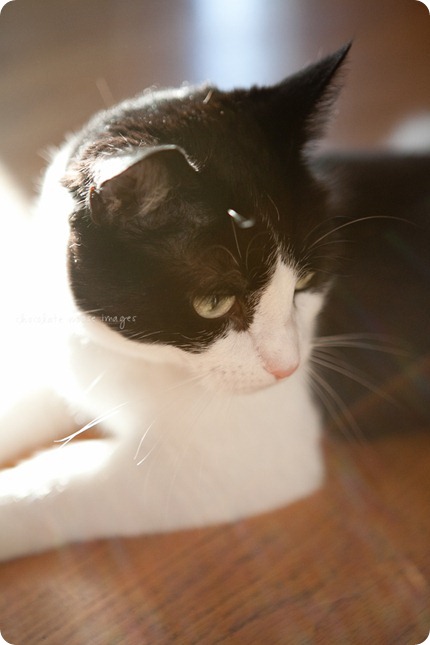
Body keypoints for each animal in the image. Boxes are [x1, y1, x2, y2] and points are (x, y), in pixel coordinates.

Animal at [0, 45, 400, 560]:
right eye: (213, 302)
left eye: (307, 280)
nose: (287, 367)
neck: (139, 359)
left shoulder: (243, 461)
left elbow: (57, 485)